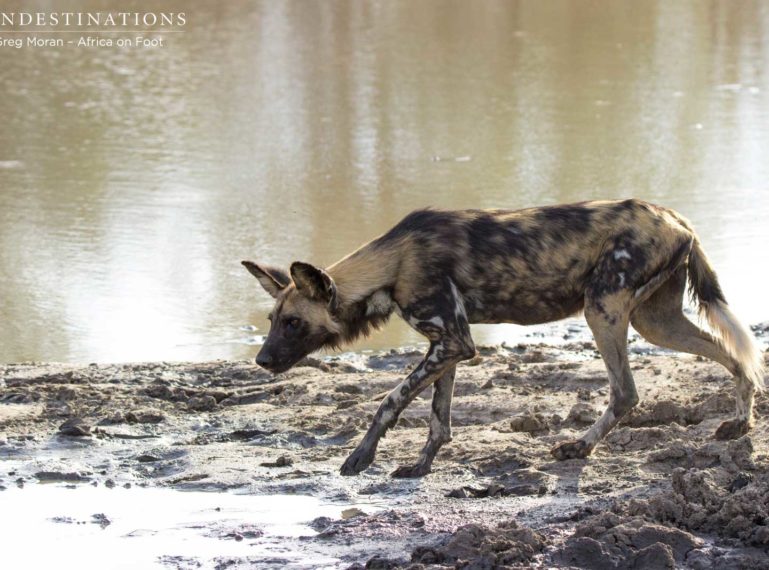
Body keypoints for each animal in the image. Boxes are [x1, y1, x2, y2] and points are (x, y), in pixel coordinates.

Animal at [242, 199, 760, 474]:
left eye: (293, 323)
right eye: (271, 320)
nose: (262, 362)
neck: (393, 264)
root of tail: (676, 217)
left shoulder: (453, 344)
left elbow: (390, 400)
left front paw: (361, 456)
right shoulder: (447, 346)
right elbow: (438, 418)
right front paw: (421, 466)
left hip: (602, 310)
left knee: (626, 392)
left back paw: (579, 447)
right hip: (655, 322)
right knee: (735, 355)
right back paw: (739, 424)